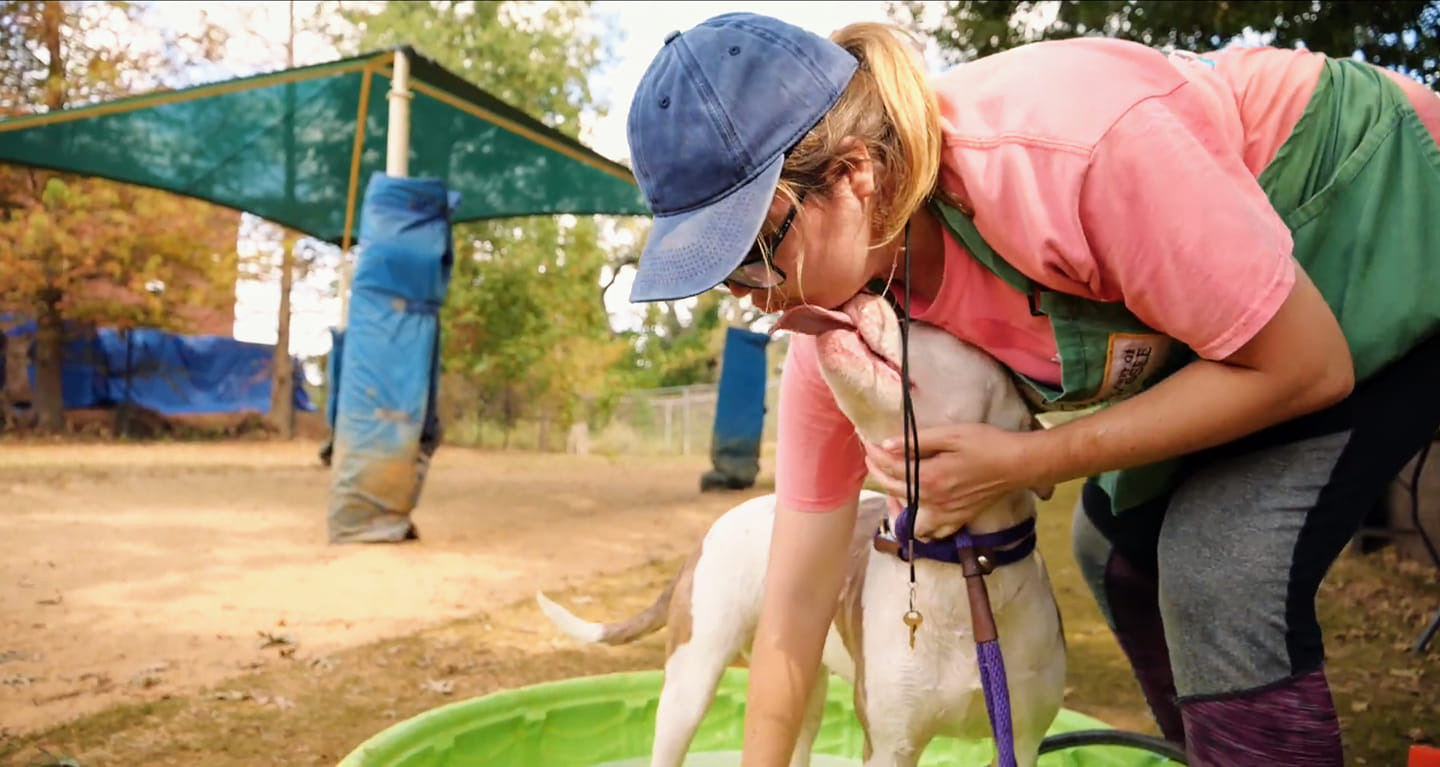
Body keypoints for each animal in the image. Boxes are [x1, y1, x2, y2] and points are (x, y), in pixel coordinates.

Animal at [535, 293, 1065, 765]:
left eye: (931, 325)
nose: (862, 294)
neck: (960, 562)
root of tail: (713, 530)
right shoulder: (889, 746)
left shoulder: (1021, 742)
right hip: (690, 683)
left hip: (801, 683)